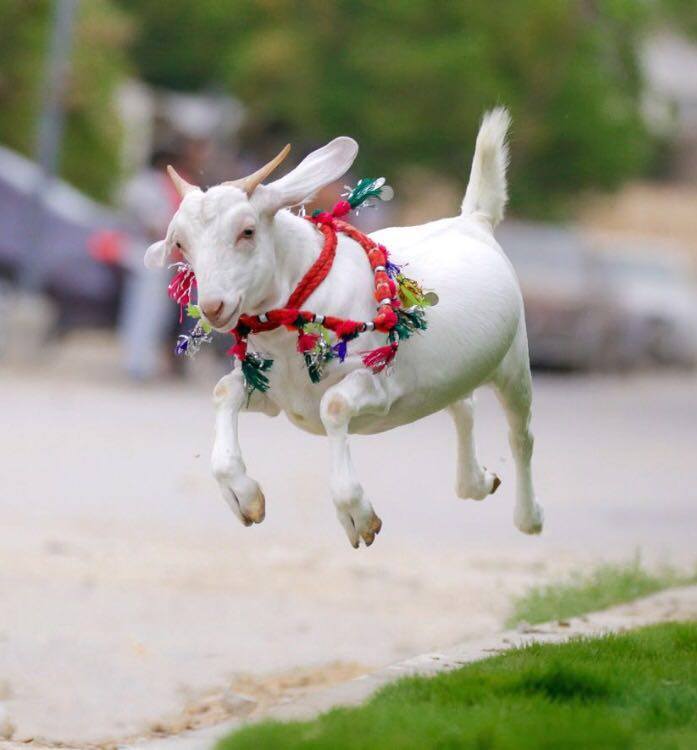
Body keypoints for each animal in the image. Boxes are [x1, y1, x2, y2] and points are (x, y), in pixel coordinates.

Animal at [145, 108, 544, 548]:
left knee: (521, 435)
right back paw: (476, 482)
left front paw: (357, 515)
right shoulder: (275, 393)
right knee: (463, 405)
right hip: (455, 371)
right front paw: (244, 496)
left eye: (247, 231)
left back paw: (529, 517)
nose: (214, 306)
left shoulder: (379, 384)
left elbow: (333, 406)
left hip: (514, 361)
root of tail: (473, 220)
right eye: (180, 244)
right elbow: (223, 391)